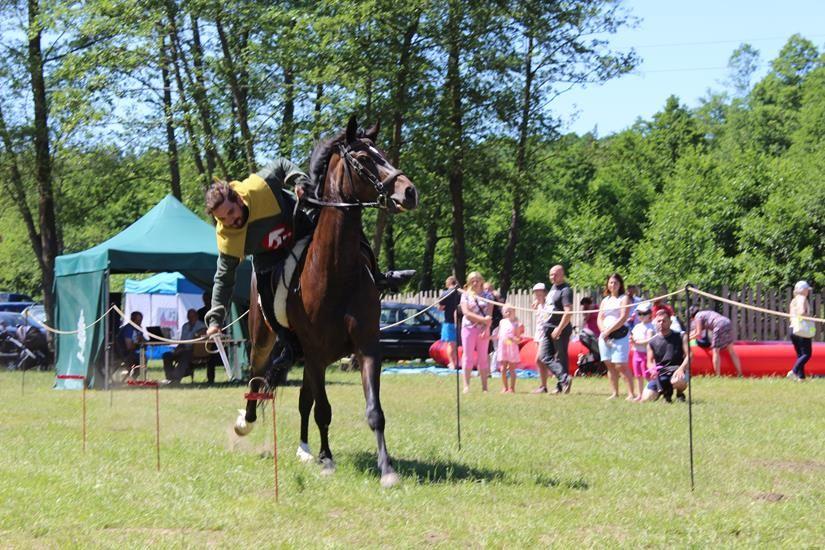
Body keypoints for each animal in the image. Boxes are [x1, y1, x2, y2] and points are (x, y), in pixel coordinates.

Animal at [233, 115, 418, 488]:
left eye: (384, 152)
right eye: (362, 158)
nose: (408, 191)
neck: (335, 272)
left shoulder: (366, 348)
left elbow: (374, 411)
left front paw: (387, 468)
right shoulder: (316, 353)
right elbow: (323, 410)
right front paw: (329, 460)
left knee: (303, 400)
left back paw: (306, 449)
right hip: (266, 339)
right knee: (258, 377)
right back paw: (248, 421)